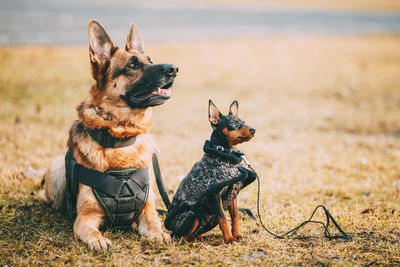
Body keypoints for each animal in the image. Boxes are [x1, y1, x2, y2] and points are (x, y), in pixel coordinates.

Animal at [41, 21, 177, 251]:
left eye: (150, 61)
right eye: (132, 65)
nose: (174, 69)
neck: (121, 137)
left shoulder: (147, 209)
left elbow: (154, 222)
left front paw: (159, 234)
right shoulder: (85, 218)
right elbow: (90, 230)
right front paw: (98, 239)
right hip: (58, 166)